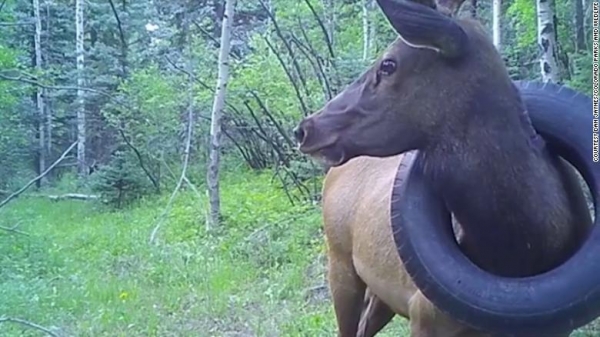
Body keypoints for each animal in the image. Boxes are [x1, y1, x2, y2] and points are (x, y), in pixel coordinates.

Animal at [290, 0, 596, 336]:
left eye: (388, 65)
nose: (306, 128)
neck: (525, 244)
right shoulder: (426, 316)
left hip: (379, 294)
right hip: (340, 264)